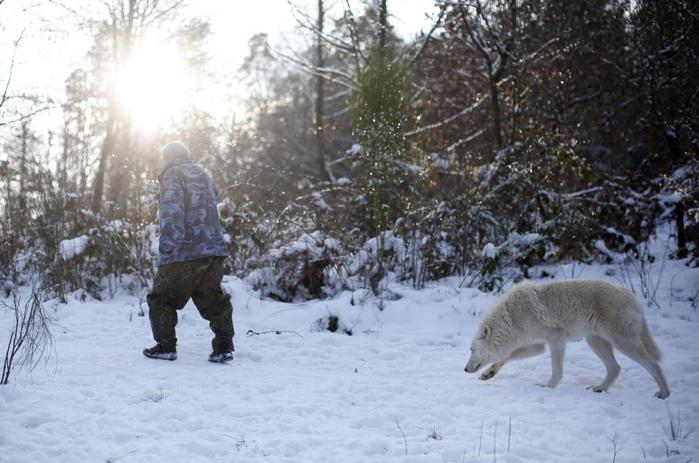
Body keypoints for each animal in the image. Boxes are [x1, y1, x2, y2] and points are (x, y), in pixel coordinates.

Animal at [464, 280, 672, 398]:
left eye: (472, 350)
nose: (465, 369)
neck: (511, 318)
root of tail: (635, 298)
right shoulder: (537, 346)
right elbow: (506, 357)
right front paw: (489, 373)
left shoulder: (556, 339)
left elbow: (556, 369)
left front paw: (548, 387)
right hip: (595, 341)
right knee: (615, 368)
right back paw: (600, 388)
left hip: (623, 343)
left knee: (653, 364)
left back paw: (664, 393)